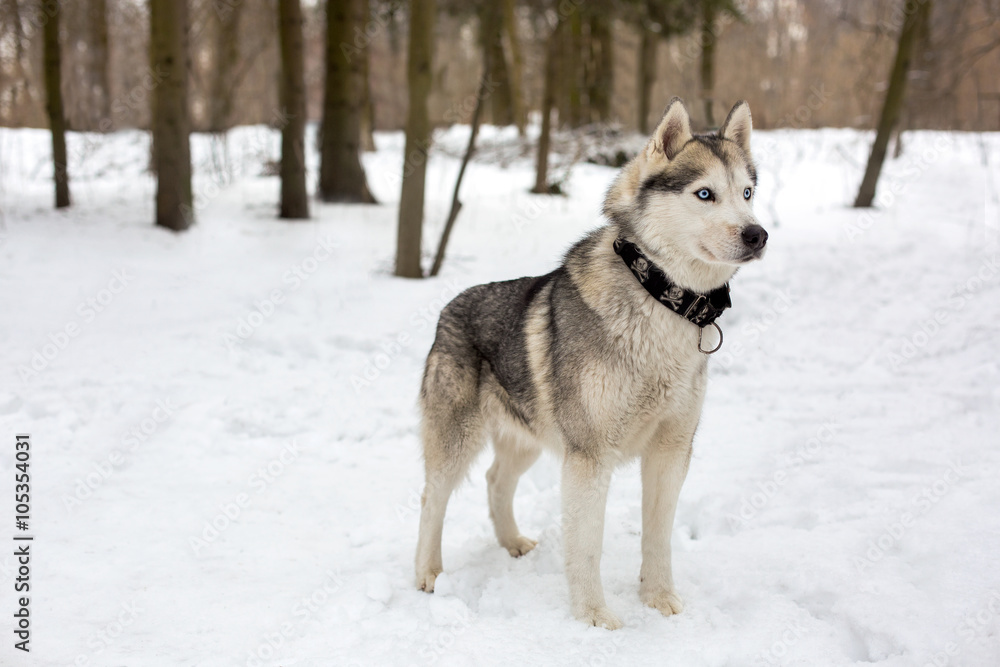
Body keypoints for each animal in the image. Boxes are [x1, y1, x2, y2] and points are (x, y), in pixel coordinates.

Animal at [414, 96, 764, 628]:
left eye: (747, 192)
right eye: (705, 193)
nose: (757, 234)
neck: (660, 299)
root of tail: (447, 307)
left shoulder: (671, 452)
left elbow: (658, 537)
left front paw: (659, 599)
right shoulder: (589, 457)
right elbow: (586, 547)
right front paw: (593, 617)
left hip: (529, 438)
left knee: (496, 480)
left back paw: (512, 543)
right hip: (457, 442)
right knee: (431, 499)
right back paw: (428, 574)